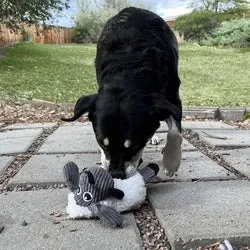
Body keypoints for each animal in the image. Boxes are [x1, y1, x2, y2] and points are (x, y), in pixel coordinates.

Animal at [62, 6, 183, 179]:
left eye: (135, 146)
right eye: (101, 142)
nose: (116, 174)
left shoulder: (172, 98)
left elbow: (175, 131)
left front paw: (171, 162)